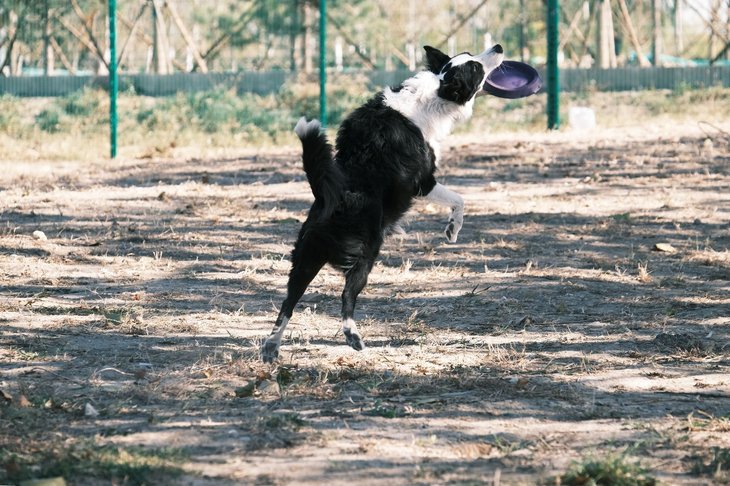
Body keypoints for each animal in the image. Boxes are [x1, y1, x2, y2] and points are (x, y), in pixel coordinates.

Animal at [261, 44, 504, 363]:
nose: (498, 47)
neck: (435, 91)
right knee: (346, 297)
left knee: (287, 304)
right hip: (367, 255)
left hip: (304, 261)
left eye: (468, 54)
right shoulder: (424, 182)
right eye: (475, 67)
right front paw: (453, 228)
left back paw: (272, 345)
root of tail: (331, 198)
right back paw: (353, 336)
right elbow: (459, 199)